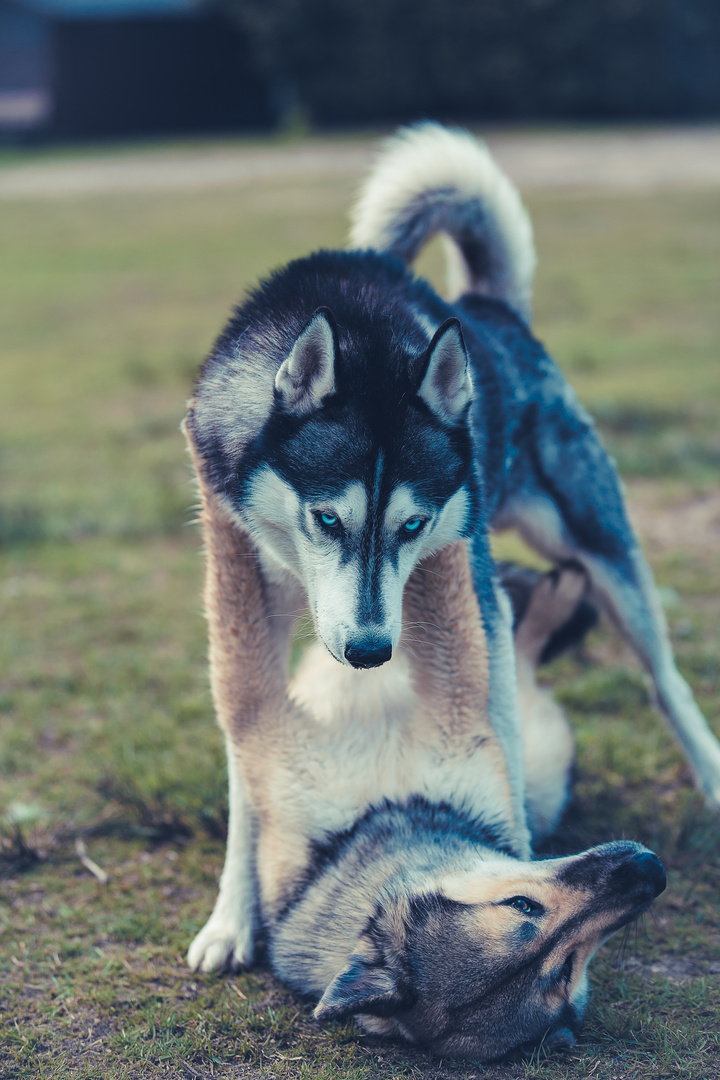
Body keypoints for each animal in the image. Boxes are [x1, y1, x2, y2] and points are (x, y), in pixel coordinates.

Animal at [184, 468, 664, 1058]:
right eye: (523, 907)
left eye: (569, 966)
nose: (651, 870)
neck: (373, 820)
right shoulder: (265, 719)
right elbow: (236, 609)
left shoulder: (449, 704)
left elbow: (449, 595)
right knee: (519, 641)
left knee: (518, 642)